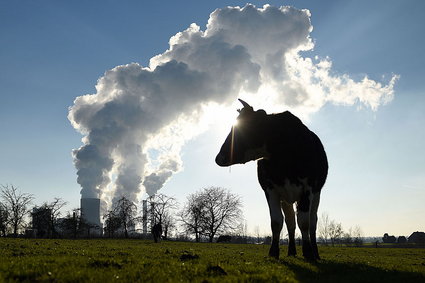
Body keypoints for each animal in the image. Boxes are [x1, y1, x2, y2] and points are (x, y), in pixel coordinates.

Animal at [215, 100, 328, 262]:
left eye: (244, 129)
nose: (219, 158)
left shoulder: (308, 189)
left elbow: (304, 223)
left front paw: (308, 252)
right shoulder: (270, 190)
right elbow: (276, 222)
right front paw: (274, 252)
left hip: (316, 195)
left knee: (312, 223)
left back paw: (315, 253)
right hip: (287, 198)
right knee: (290, 223)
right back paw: (291, 251)